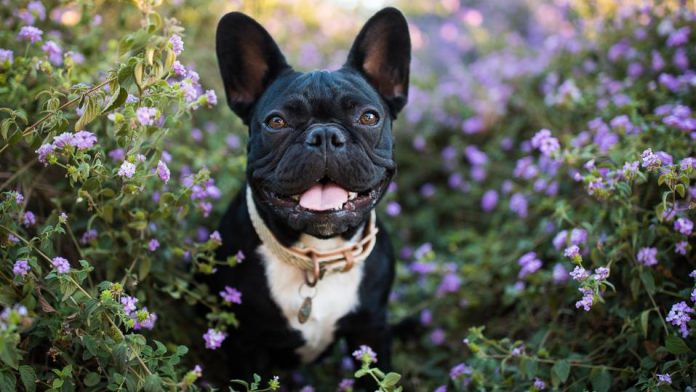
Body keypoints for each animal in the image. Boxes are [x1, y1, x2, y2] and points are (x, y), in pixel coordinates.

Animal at [207, 6, 414, 388]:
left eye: (368, 117)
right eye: (276, 122)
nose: (325, 135)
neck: (317, 256)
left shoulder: (371, 329)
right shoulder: (247, 345)